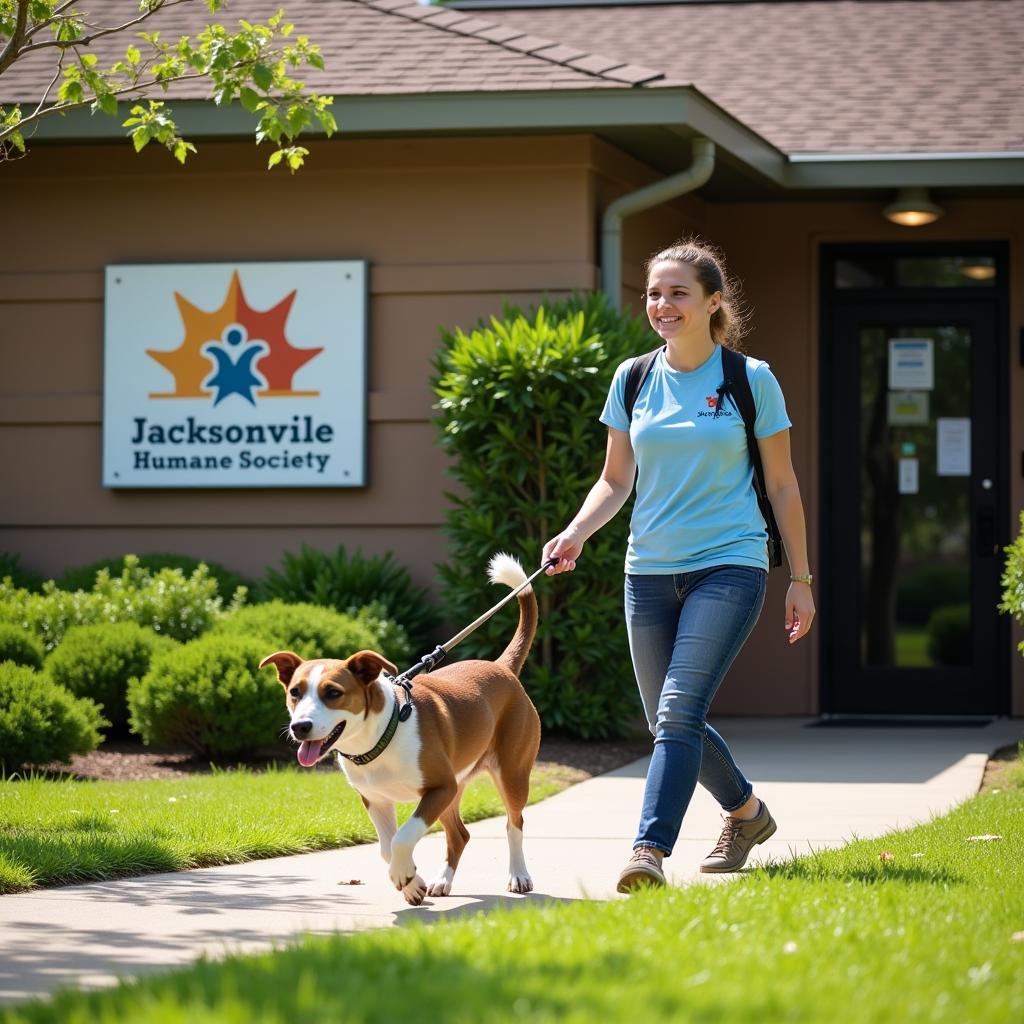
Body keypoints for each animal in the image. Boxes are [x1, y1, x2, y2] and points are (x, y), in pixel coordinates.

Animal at [258, 552, 544, 905]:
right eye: (295, 692)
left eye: (333, 693)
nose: (300, 726)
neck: (381, 736)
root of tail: (502, 668)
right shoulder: (376, 798)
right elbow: (385, 846)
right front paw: (412, 882)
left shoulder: (439, 787)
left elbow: (402, 838)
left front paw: (404, 875)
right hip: (456, 785)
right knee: (459, 834)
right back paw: (441, 881)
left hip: (510, 773)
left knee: (514, 822)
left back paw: (518, 875)